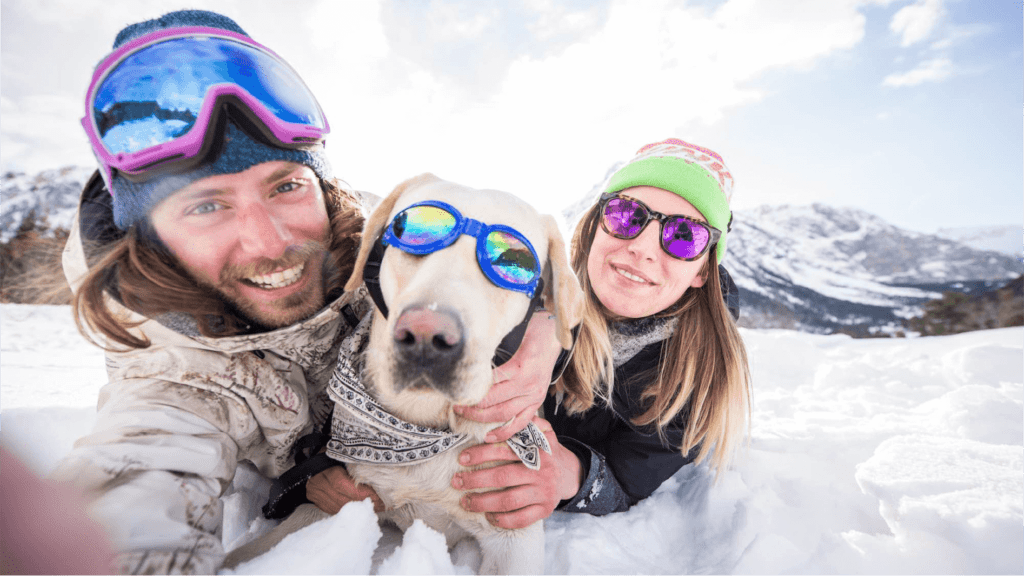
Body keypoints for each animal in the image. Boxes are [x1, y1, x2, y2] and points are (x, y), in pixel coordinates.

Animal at [229, 175, 589, 573]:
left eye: (514, 262)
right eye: (410, 233)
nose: (427, 337)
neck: (422, 427)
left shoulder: (512, 532)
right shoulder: (334, 499)